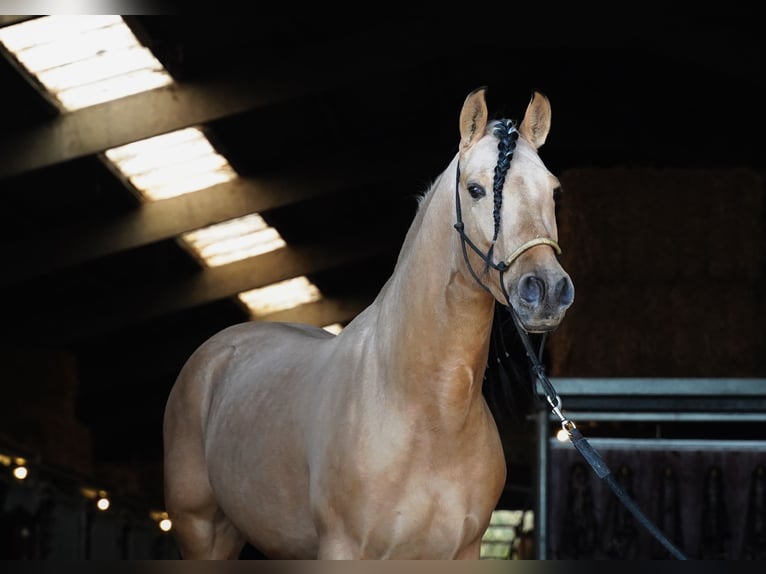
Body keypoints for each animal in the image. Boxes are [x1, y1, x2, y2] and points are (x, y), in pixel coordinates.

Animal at [164, 88, 576, 560]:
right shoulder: (343, 548)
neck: (429, 413)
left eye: (554, 191)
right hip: (200, 530)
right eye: (475, 189)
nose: (546, 289)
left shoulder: (462, 552)